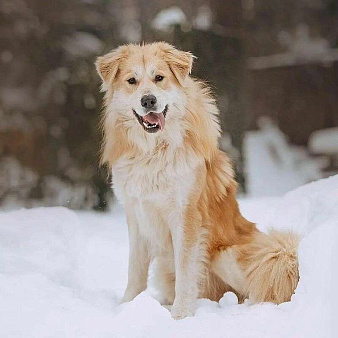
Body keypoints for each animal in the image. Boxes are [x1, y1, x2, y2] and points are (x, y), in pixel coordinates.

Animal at [95, 42, 298, 320]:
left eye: (159, 78)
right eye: (131, 81)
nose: (148, 100)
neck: (154, 151)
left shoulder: (186, 215)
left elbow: (186, 271)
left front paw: (180, 316)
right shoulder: (136, 214)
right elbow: (135, 270)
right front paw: (126, 307)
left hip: (235, 256)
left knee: (262, 289)